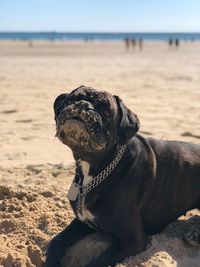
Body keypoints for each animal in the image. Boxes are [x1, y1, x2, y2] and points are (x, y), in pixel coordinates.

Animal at [45, 86, 200, 267]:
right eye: (74, 99)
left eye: (106, 110)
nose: (83, 105)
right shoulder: (83, 222)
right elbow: (56, 241)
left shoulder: (132, 241)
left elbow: (97, 262)